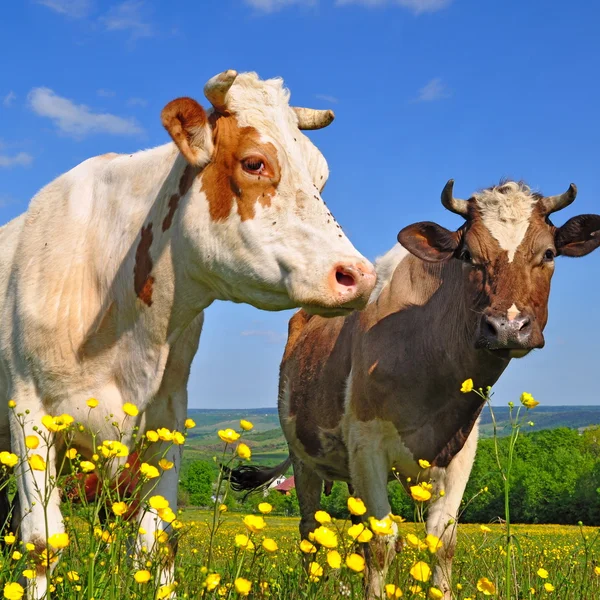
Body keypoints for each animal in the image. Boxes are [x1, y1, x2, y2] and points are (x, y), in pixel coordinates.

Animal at [0, 69, 376, 596]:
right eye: (255, 162)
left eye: (320, 177)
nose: (358, 275)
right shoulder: (29, 411)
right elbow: (40, 543)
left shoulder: (168, 415)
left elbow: (158, 540)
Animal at [231, 179, 600, 600]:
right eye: (468, 255)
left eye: (549, 253)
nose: (508, 327)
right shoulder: (367, 444)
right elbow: (380, 541)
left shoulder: (460, 454)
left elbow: (442, 541)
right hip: (303, 456)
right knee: (310, 528)